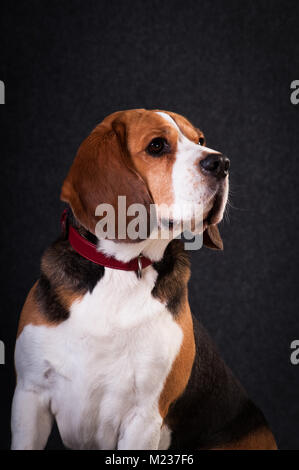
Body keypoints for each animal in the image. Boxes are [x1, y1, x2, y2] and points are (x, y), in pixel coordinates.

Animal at [11, 108, 278, 450]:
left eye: (200, 140)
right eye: (157, 146)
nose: (222, 163)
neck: (120, 269)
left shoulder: (144, 418)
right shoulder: (29, 396)